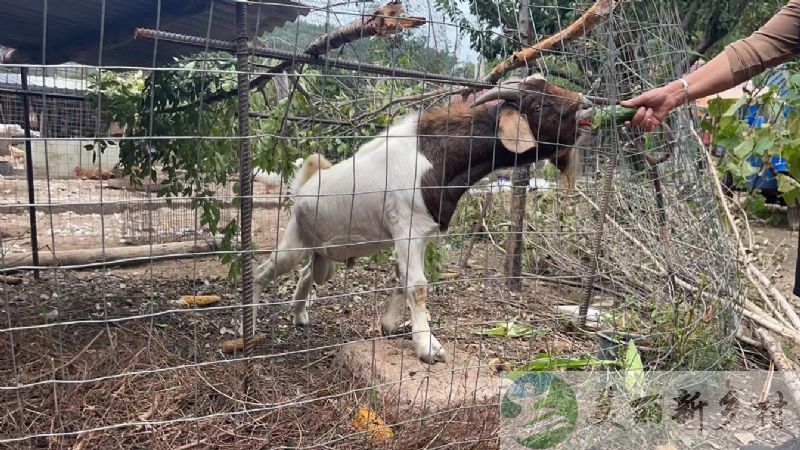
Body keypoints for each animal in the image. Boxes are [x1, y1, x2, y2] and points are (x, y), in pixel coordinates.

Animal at [253, 74, 596, 362]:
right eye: (538, 104)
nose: (588, 106)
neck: (434, 158)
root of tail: (303, 190)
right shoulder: (407, 230)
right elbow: (417, 285)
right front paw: (428, 347)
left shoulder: (422, 234)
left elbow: (403, 280)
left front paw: (389, 324)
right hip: (295, 240)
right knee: (265, 270)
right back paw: (251, 324)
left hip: (326, 254)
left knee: (308, 274)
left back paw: (300, 316)